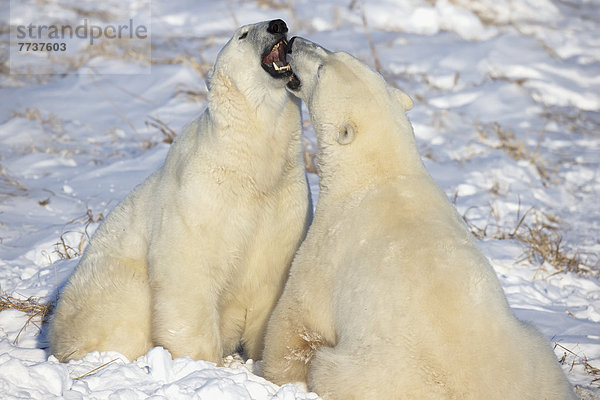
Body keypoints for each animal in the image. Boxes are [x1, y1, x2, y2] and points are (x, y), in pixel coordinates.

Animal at [49, 21, 312, 366]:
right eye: (243, 34)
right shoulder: (202, 198)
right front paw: (203, 361)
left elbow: (270, 279)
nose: (277, 25)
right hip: (106, 288)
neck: (249, 166)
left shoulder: (283, 201)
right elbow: (189, 274)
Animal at [264, 37, 576, 400]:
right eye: (334, 52)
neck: (381, 173)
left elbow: (297, 319)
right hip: (533, 354)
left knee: (331, 369)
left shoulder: (330, 245)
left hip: (378, 372)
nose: (295, 41)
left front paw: (276, 375)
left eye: (321, 68)